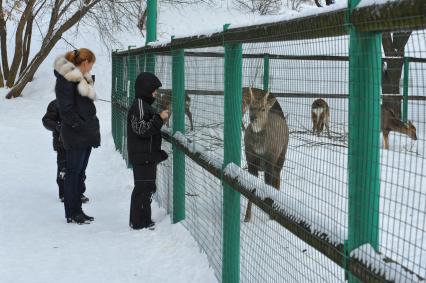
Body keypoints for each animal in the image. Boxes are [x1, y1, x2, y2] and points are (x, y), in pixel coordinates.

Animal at [243, 87, 290, 223]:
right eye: (251, 107)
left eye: (263, 109)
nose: (253, 118)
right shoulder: (250, 161)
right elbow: (251, 189)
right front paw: (247, 217)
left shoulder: (270, 160)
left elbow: (269, 186)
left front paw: (269, 211)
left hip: (281, 156)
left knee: (277, 180)